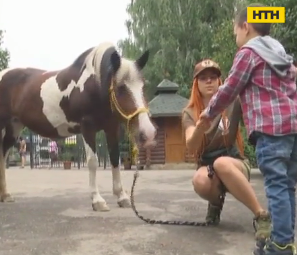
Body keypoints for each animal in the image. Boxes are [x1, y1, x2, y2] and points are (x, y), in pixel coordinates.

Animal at [0, 41, 156, 211]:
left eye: (143, 86)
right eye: (120, 87)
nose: (148, 133)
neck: (94, 85)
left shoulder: (111, 127)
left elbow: (115, 159)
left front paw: (122, 197)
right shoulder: (87, 127)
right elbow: (92, 162)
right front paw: (97, 200)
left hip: (14, 128)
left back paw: (5, 195)